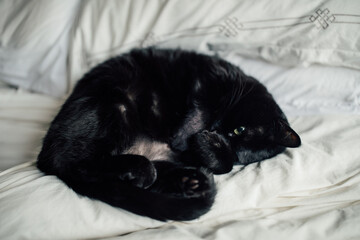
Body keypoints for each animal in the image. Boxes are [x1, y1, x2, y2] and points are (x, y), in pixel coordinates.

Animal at [36, 48, 300, 221]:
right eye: (239, 130)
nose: (217, 135)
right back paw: (144, 171)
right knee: (78, 164)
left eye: (238, 155)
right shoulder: (205, 80)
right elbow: (198, 113)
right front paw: (188, 137)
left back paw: (189, 182)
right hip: (115, 103)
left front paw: (206, 148)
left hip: (160, 157)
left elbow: (223, 165)